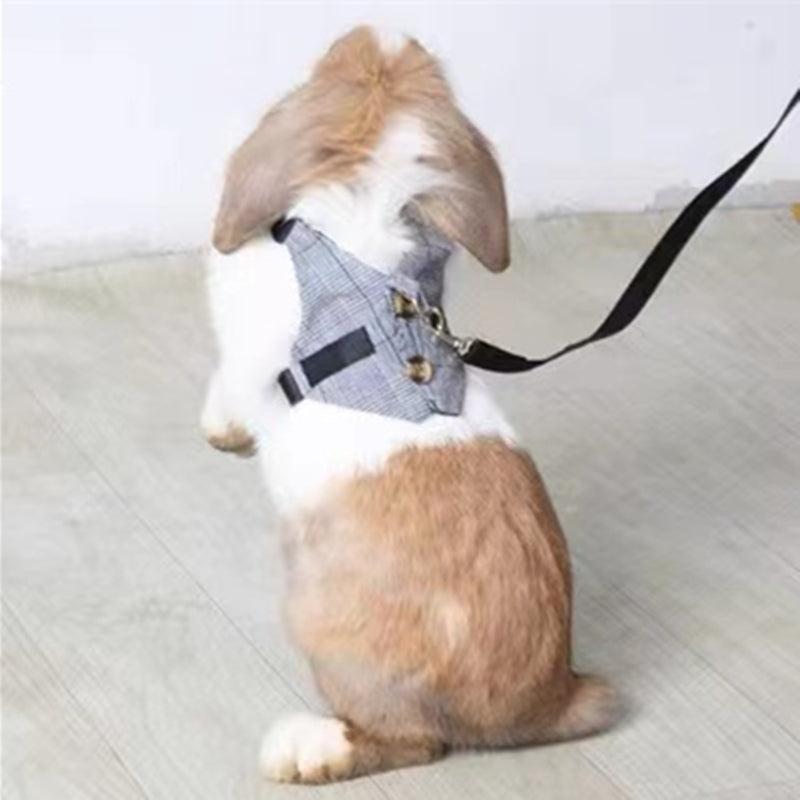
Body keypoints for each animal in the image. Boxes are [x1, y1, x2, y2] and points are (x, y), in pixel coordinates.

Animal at [202, 26, 616, 784]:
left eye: (336, 67)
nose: (379, 30)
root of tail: (543, 707)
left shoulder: (245, 357)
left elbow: (229, 385)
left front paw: (222, 433)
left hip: (326, 633)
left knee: (412, 743)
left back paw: (301, 749)